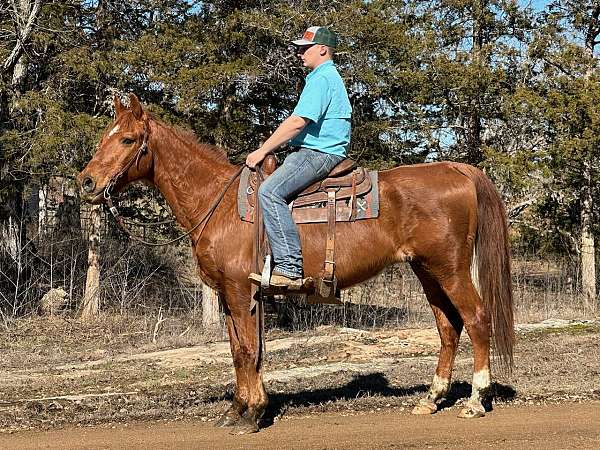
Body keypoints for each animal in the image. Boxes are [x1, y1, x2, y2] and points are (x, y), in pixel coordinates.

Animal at [77, 93, 512, 434]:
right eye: (105, 137)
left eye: (128, 139)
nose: (86, 182)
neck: (218, 203)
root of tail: (457, 169)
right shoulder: (229, 296)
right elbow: (238, 350)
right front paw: (237, 410)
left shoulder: (241, 292)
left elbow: (246, 350)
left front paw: (253, 414)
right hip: (427, 271)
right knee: (448, 327)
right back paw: (432, 398)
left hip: (451, 269)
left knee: (476, 319)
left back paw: (475, 401)